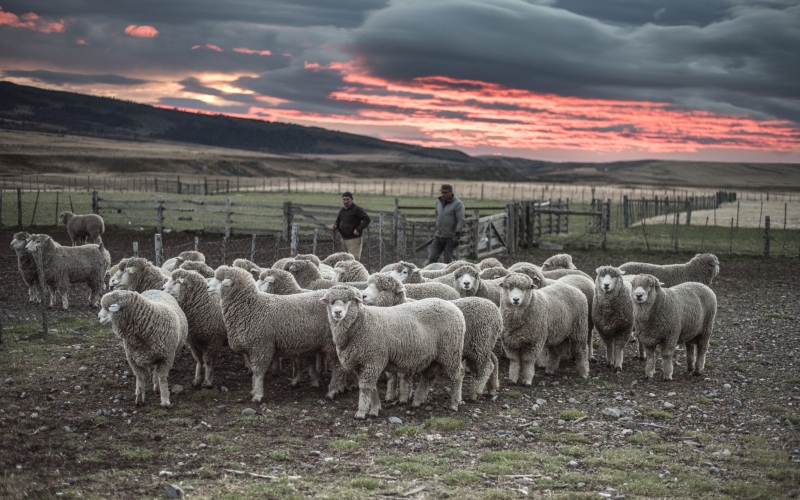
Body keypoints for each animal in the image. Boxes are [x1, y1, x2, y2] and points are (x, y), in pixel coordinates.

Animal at [206, 266, 346, 402]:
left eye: (220, 279)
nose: (207, 287)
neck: (251, 308)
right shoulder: (251, 347)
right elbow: (254, 371)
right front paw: (253, 390)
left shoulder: (261, 345)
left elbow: (258, 371)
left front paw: (257, 394)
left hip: (333, 344)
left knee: (338, 367)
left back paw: (333, 390)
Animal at [320, 286, 466, 418]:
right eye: (331, 302)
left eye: (349, 300)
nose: (337, 312)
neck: (362, 322)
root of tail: (454, 307)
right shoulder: (360, 363)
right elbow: (372, 387)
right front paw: (375, 408)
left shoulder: (373, 359)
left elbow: (366, 387)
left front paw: (362, 412)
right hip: (435, 356)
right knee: (428, 377)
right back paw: (417, 401)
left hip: (451, 351)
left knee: (458, 375)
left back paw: (454, 403)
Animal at [362, 272, 500, 400]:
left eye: (383, 288)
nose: (363, 295)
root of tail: (496, 311)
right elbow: (392, 376)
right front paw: (390, 395)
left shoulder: (406, 350)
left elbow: (402, 375)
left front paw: (404, 395)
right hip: (482, 345)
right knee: (493, 361)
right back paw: (492, 388)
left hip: (480, 344)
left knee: (487, 367)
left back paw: (476, 392)